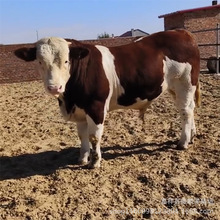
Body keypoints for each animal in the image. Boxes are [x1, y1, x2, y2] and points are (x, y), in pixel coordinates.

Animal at [14, 29, 200, 168]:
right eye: (39, 62)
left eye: (66, 61)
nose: (54, 87)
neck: (69, 99)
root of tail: (183, 33)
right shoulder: (80, 110)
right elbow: (82, 135)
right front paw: (83, 158)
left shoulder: (95, 106)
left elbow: (94, 136)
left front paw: (95, 162)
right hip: (175, 88)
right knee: (189, 110)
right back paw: (191, 136)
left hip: (185, 83)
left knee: (185, 111)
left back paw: (183, 142)